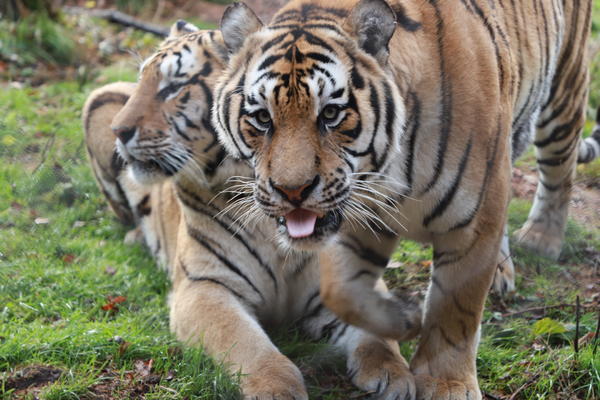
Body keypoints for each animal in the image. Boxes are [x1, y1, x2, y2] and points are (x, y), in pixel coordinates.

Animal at [83, 20, 422, 400]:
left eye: (174, 86)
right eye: (144, 80)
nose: (119, 131)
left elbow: (379, 335)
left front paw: (394, 374)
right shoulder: (205, 287)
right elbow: (245, 343)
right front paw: (278, 388)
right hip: (98, 98)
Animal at [213, 1, 596, 398]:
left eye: (331, 113)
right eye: (261, 118)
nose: (291, 192)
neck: (388, 173)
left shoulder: (473, 222)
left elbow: (456, 310)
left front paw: (448, 383)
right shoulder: (357, 225)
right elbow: (343, 293)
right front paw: (403, 322)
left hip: (563, 94)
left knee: (560, 169)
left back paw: (541, 240)